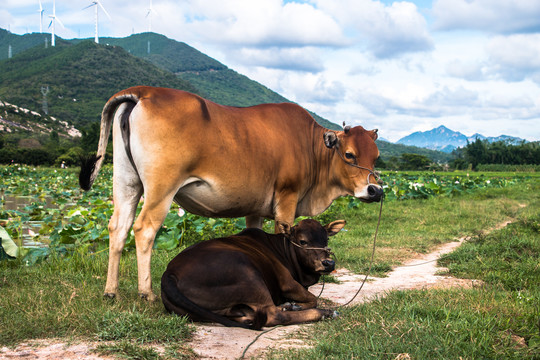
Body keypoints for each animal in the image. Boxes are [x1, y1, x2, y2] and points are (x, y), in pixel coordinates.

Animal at [79, 86, 384, 300]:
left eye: (377, 157)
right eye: (349, 154)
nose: (375, 190)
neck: (311, 146)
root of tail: (142, 92)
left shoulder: (255, 209)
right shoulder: (287, 198)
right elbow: (284, 235)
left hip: (126, 183)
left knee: (117, 228)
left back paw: (111, 291)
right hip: (160, 189)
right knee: (144, 229)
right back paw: (147, 293)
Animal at [161, 218, 346, 330]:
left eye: (326, 240)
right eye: (303, 241)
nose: (328, 263)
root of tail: (169, 273)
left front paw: (292, 304)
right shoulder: (287, 282)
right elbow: (313, 299)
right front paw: (295, 305)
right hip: (249, 275)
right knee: (274, 316)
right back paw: (325, 313)